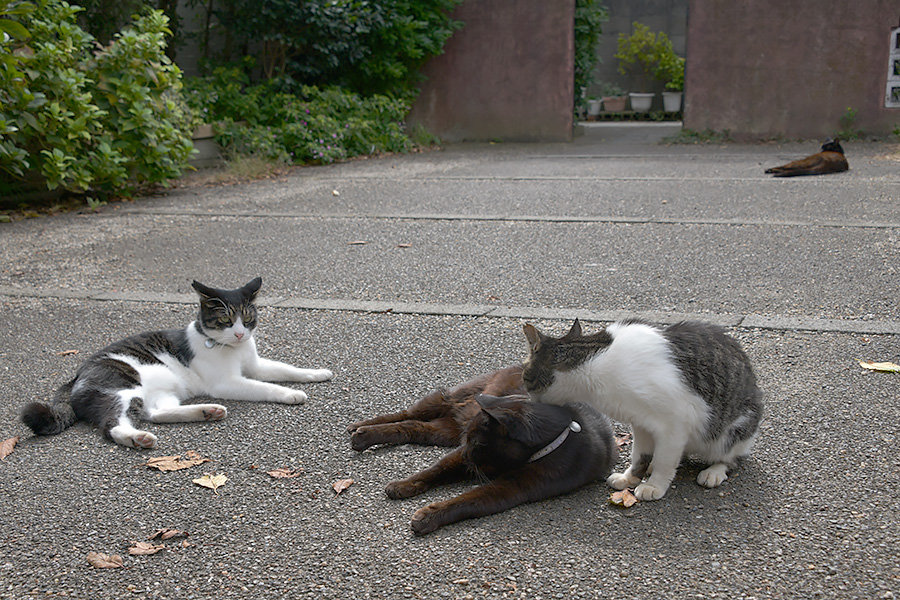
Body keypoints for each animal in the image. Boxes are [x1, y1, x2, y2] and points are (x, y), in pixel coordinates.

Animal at [18, 278, 334, 448]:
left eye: (247, 317)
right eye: (225, 319)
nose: (240, 333)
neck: (232, 348)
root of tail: (76, 374)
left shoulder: (254, 365)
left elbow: (286, 369)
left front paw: (316, 373)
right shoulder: (227, 382)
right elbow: (265, 386)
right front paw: (290, 394)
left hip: (162, 392)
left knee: (155, 413)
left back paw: (206, 411)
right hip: (121, 388)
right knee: (113, 425)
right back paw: (137, 438)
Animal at [346, 368, 620, 536]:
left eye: (475, 444)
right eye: (469, 441)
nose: (466, 454)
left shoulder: (514, 487)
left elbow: (468, 500)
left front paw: (427, 515)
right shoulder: (458, 457)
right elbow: (435, 470)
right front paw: (403, 485)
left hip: (444, 431)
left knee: (412, 427)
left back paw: (363, 434)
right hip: (453, 399)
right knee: (407, 414)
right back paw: (360, 429)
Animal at [520, 318, 760, 502]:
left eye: (524, 377)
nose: (528, 397)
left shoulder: (676, 422)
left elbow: (665, 460)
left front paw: (655, 485)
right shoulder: (641, 422)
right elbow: (639, 454)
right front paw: (630, 477)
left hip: (732, 430)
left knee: (732, 457)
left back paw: (714, 471)